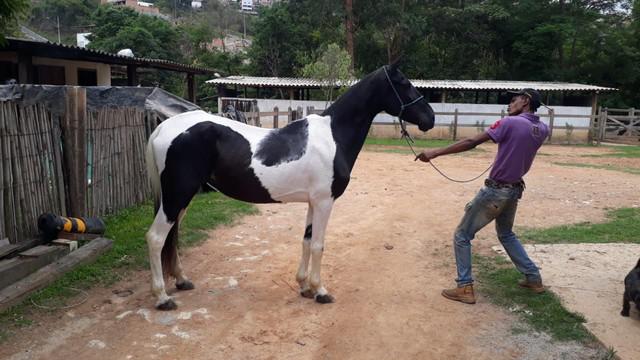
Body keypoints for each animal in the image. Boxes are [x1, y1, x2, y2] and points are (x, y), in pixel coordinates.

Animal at [145, 64, 436, 310]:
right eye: (404, 83)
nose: (430, 118)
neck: (333, 137)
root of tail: (164, 127)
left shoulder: (313, 202)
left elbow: (306, 240)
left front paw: (304, 286)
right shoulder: (324, 202)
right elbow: (318, 244)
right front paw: (320, 291)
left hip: (180, 198)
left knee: (173, 237)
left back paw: (182, 281)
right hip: (177, 195)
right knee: (157, 238)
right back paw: (162, 298)